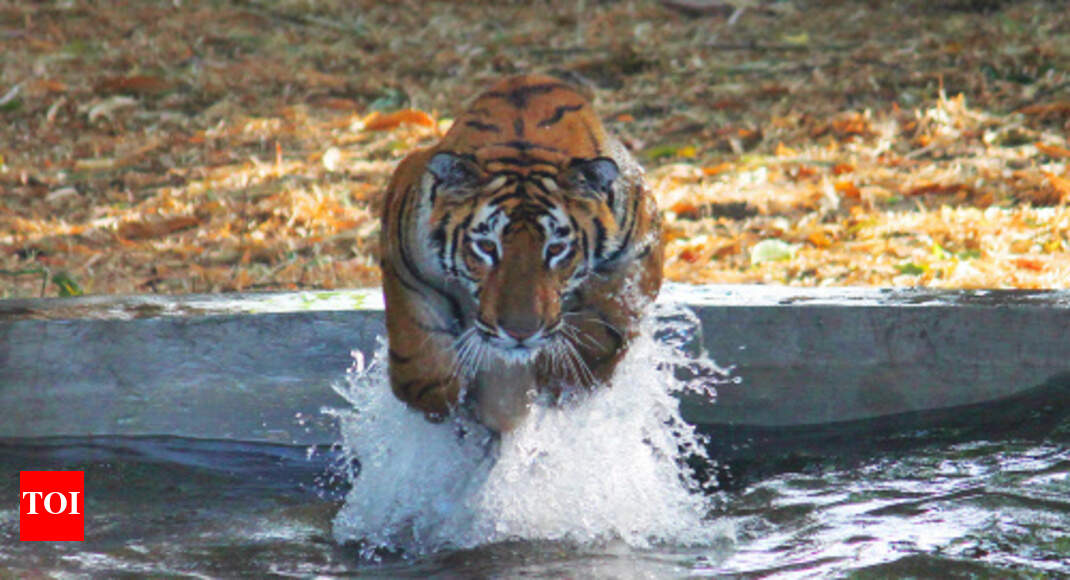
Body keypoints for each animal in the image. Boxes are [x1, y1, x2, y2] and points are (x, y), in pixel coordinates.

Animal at [379, 74, 662, 433]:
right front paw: (451, 402)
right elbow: (421, 358)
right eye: (487, 247)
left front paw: (558, 380)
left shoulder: (637, 253)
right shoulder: (407, 264)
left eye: (556, 249)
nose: (520, 334)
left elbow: (603, 325)